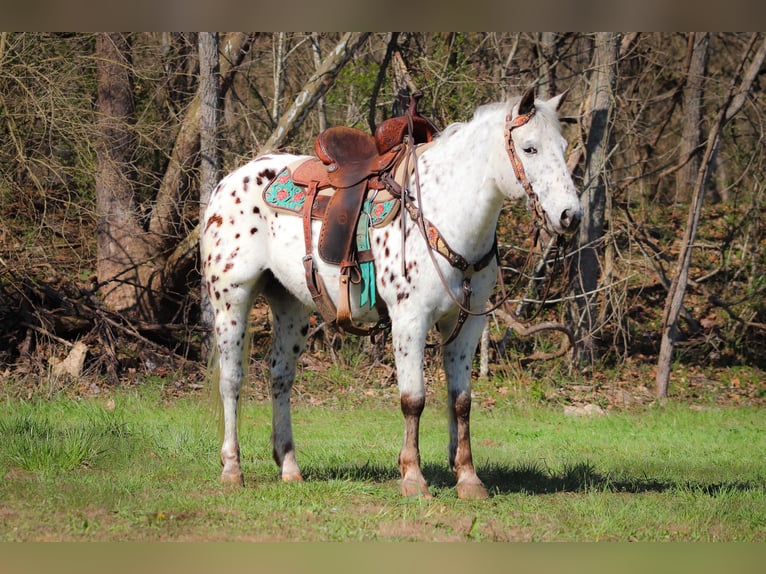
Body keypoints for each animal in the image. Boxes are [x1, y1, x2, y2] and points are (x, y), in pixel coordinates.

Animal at [200, 89, 584, 500]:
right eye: (529, 148)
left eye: (563, 147)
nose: (570, 215)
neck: (445, 212)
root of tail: (227, 183)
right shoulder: (409, 321)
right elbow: (413, 400)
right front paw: (413, 477)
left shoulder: (466, 324)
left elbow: (461, 401)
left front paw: (467, 477)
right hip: (231, 299)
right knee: (232, 379)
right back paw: (232, 468)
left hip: (291, 306)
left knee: (280, 377)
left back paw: (289, 466)